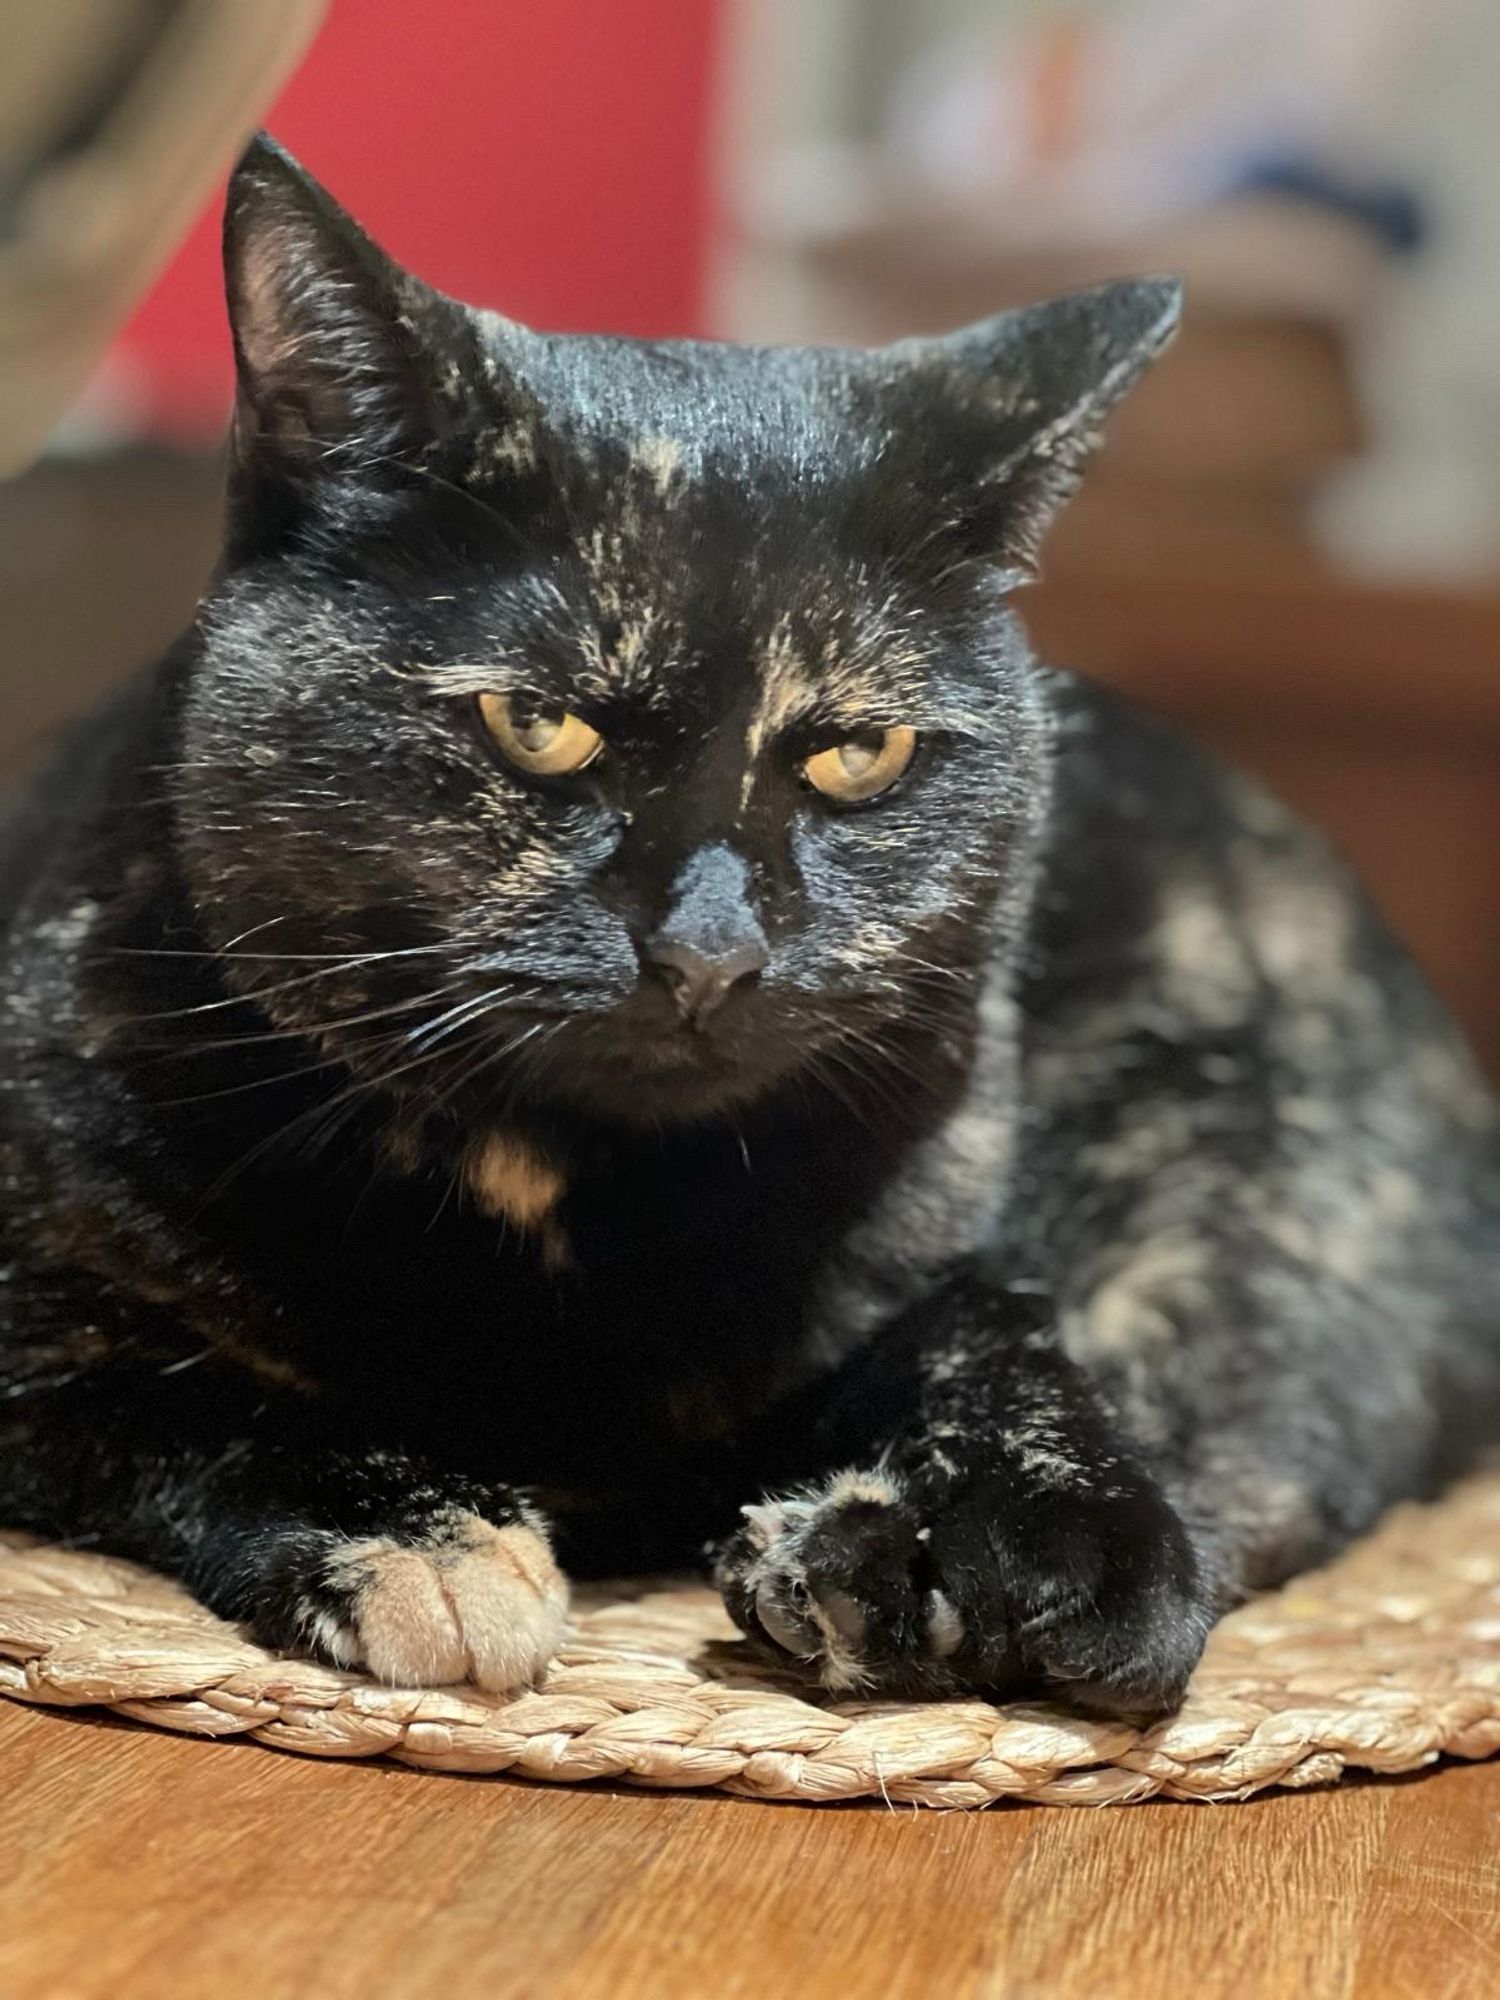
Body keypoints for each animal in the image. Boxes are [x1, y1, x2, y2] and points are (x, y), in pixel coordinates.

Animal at [2, 137, 1500, 1720]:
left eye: (861, 754)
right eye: (537, 724)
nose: (710, 949)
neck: (575, 1214)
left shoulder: (953, 1218)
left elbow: (1000, 1333)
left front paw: (1074, 1537)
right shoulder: (41, 1308)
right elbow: (165, 1385)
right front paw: (425, 1541)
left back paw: (874, 1571)